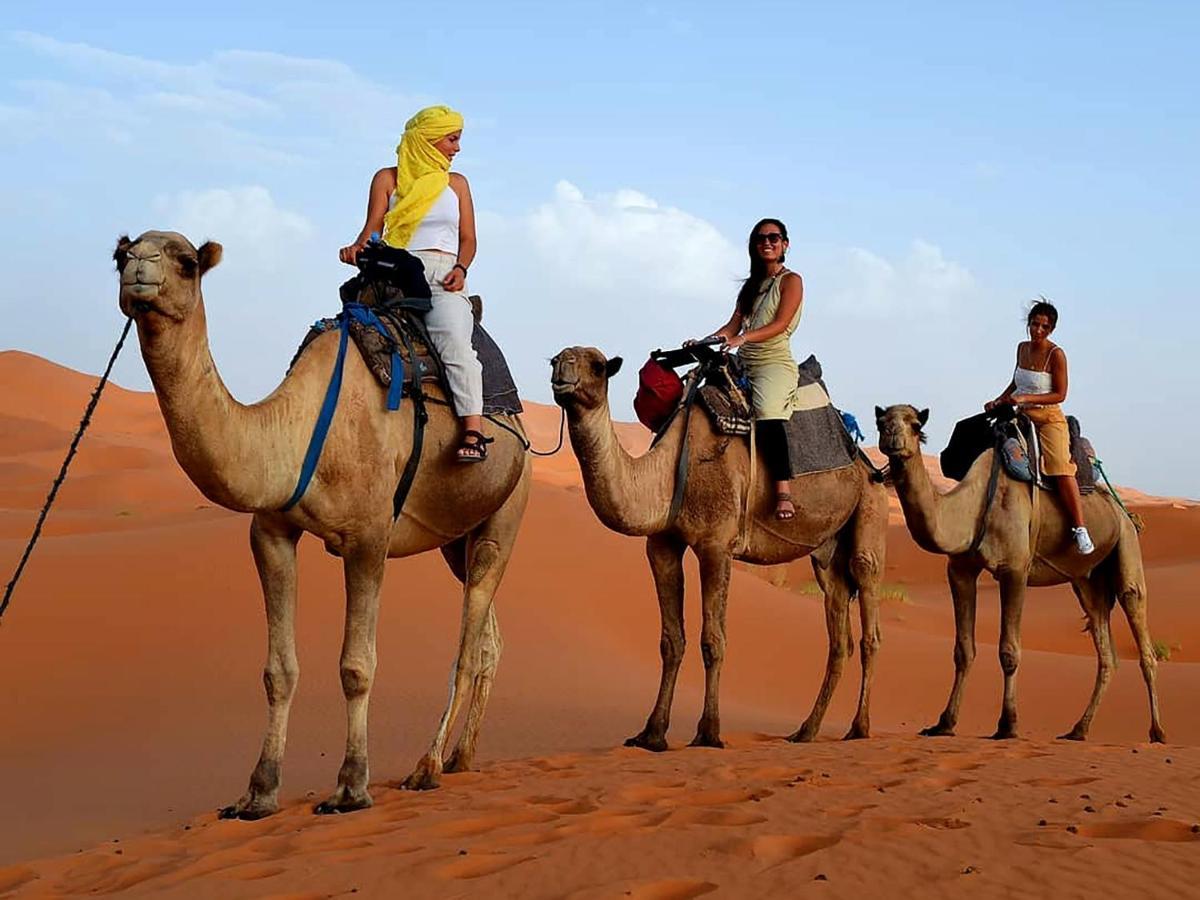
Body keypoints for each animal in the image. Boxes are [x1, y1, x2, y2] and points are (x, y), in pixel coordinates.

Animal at [115, 230, 530, 816]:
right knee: (488, 636)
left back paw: (426, 767)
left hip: (506, 514)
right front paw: (258, 792)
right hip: (457, 541)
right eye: (120, 254)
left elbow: (356, 666)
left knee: (468, 646)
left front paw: (351, 786)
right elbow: (278, 671)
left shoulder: (368, 537)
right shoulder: (270, 531)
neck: (295, 427)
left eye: (187, 261)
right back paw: (459, 757)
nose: (138, 267)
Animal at [549, 348, 888, 748]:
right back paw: (806, 731)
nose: (562, 370)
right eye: (556, 358)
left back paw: (859, 728)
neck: (665, 474)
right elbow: (671, 640)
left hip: (869, 514)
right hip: (827, 554)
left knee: (869, 624)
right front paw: (652, 734)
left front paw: (708, 732)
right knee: (838, 638)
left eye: (598, 366)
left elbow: (713, 641)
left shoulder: (716, 544)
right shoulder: (662, 545)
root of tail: (865, 461)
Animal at [873, 405, 1161, 744]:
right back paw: (1078, 729)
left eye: (916, 425)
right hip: (1086, 581)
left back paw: (1157, 731)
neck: (972, 506)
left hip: (1126, 545)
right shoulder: (960, 570)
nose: (892, 437)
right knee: (1106, 652)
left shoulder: (1015, 569)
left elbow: (1009, 650)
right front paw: (944, 723)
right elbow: (963, 650)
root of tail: (1122, 510)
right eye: (881, 422)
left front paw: (1007, 725)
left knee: (1141, 631)